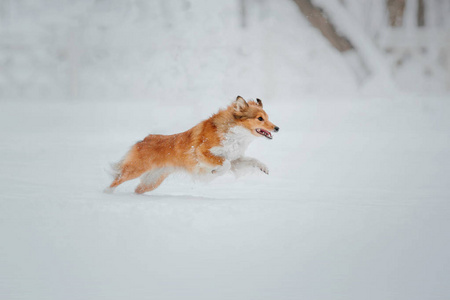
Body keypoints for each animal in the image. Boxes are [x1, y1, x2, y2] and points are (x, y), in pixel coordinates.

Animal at [107, 96, 280, 195]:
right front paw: (215, 172)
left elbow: (251, 160)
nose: (277, 128)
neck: (234, 133)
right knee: (116, 181)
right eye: (260, 119)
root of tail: (143, 140)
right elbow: (225, 164)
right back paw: (106, 195)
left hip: (153, 181)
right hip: (135, 170)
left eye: (267, 118)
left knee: (137, 189)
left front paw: (264, 168)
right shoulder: (201, 153)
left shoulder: (235, 159)